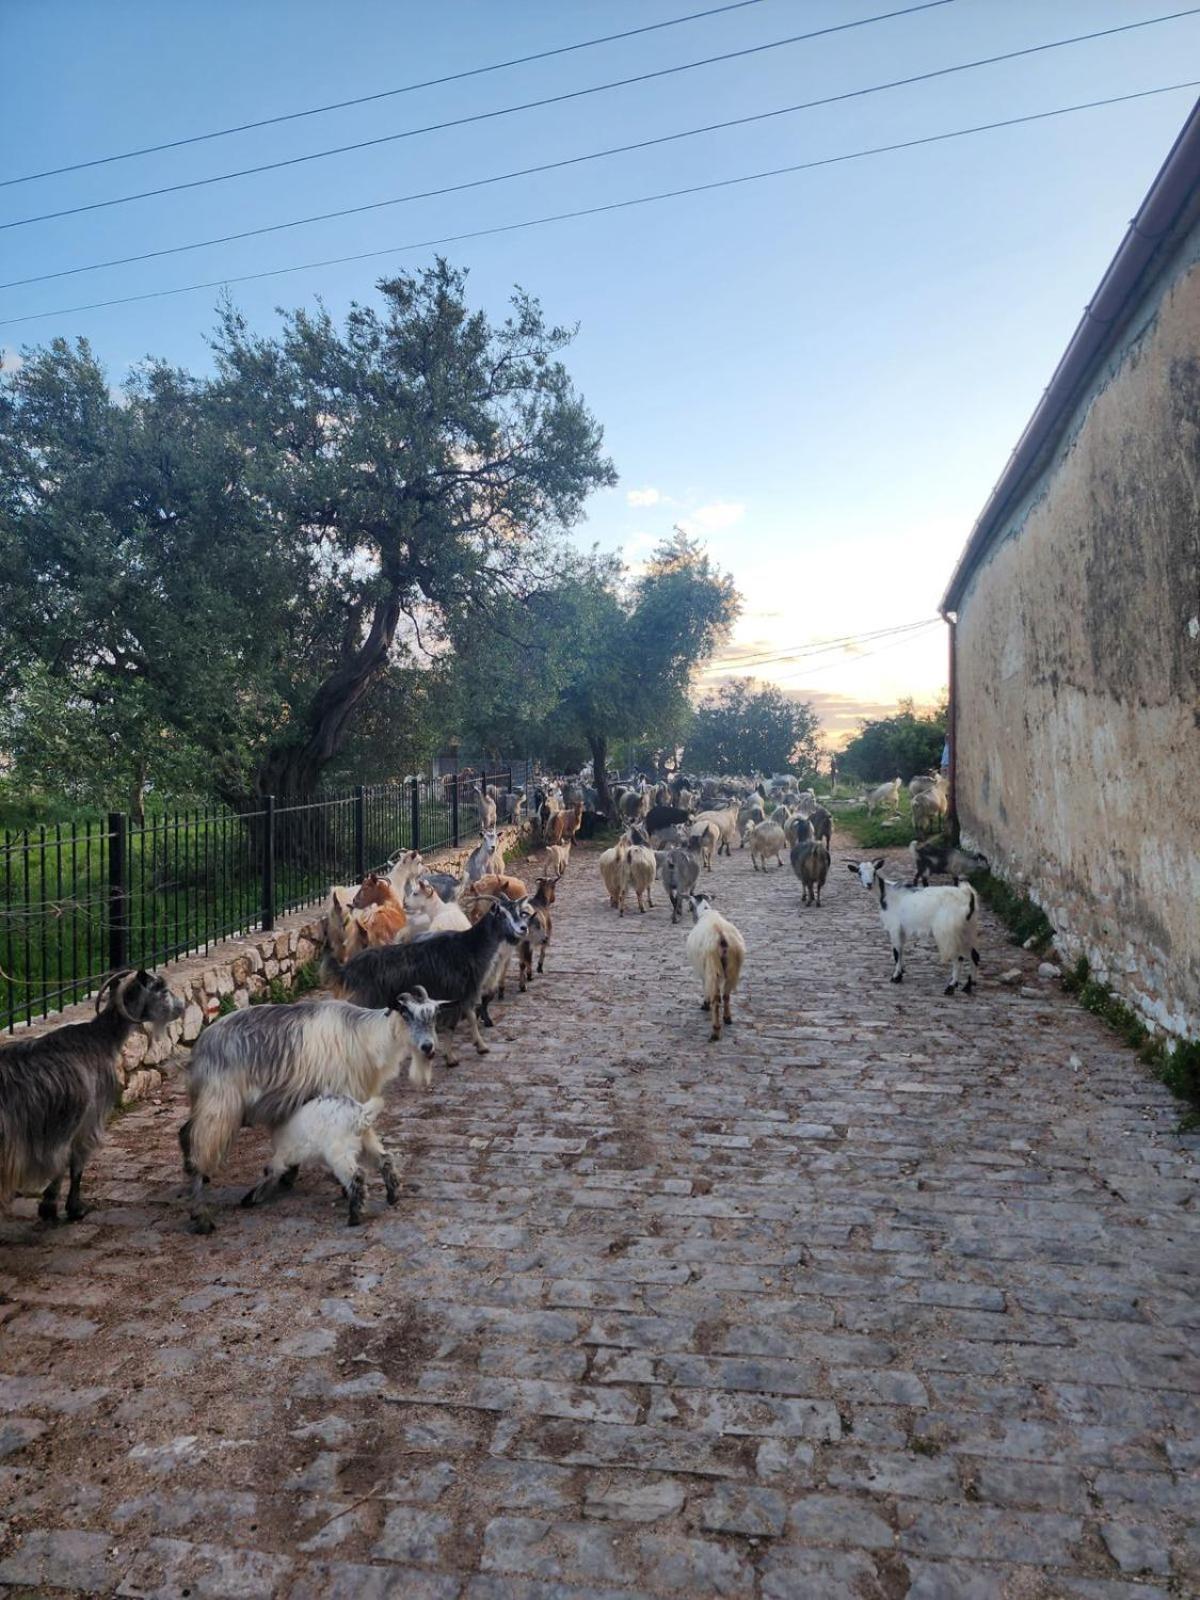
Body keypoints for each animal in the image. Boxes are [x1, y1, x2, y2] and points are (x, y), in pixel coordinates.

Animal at [1, 972, 184, 1222]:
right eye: (162, 989)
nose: (181, 1007)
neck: (101, 1038)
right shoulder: (88, 1117)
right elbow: (73, 1162)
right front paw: (71, 1208)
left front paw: (51, 1207)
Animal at [244, 1094, 390, 1228]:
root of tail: (360, 1112)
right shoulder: (292, 1154)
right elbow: (288, 1168)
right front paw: (286, 1182)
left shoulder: (283, 1152)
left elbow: (270, 1170)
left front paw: (251, 1197)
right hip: (367, 1141)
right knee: (385, 1159)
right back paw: (392, 1196)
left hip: (339, 1151)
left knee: (356, 1176)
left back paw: (354, 1217)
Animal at [691, 896, 748, 1043]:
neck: (707, 912)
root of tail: (721, 936)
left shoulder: (703, 971)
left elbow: (705, 987)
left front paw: (705, 1004)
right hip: (733, 968)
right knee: (726, 995)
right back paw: (727, 1018)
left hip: (712, 968)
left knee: (716, 998)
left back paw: (715, 1031)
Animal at [851, 857, 979, 992]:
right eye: (859, 872)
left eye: (874, 871)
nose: (869, 884)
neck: (886, 894)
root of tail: (969, 897)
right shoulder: (902, 928)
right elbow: (901, 950)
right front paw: (901, 973)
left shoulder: (894, 927)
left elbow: (896, 951)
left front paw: (895, 977)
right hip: (968, 929)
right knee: (974, 955)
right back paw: (969, 986)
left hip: (949, 932)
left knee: (958, 957)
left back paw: (951, 987)